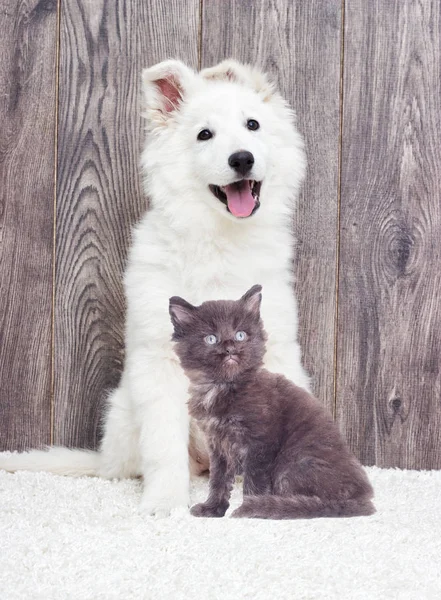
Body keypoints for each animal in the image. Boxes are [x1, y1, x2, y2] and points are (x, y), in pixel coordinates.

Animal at [169, 286, 374, 520]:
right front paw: (213, 508)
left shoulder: (260, 444)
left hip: (293, 463)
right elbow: (218, 481)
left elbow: (253, 483)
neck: (223, 387)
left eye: (240, 335)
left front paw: (249, 509)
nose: (230, 348)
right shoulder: (218, 445)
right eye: (211, 339)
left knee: (320, 503)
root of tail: (363, 496)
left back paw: (280, 507)